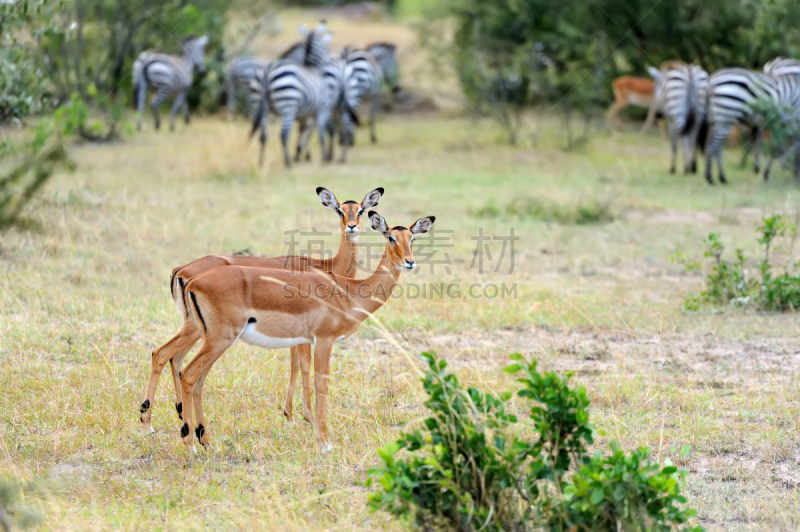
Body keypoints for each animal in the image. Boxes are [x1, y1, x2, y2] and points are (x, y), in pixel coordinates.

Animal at [140, 187, 384, 432]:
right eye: (340, 211)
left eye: (360, 211)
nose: (352, 227)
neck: (325, 266)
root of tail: (182, 271)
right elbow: (303, 366)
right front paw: (305, 417)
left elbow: (295, 365)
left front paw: (290, 415)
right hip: (201, 330)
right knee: (165, 355)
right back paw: (150, 421)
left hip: (196, 329)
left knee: (172, 357)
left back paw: (176, 415)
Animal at [177, 212, 434, 454]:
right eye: (391, 237)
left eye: (412, 238)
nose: (409, 262)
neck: (350, 293)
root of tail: (191, 281)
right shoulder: (324, 340)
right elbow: (322, 384)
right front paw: (324, 442)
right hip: (219, 339)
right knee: (187, 374)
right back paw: (190, 445)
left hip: (213, 341)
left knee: (196, 378)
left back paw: (205, 442)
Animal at [250, 21, 338, 167]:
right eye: (328, 48)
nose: (332, 61)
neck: (312, 67)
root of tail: (268, 71)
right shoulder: (321, 109)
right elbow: (321, 133)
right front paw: (324, 158)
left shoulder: (304, 114)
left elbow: (303, 132)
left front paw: (300, 155)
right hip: (288, 105)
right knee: (283, 134)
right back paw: (287, 163)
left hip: (260, 106)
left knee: (263, 136)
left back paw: (261, 163)